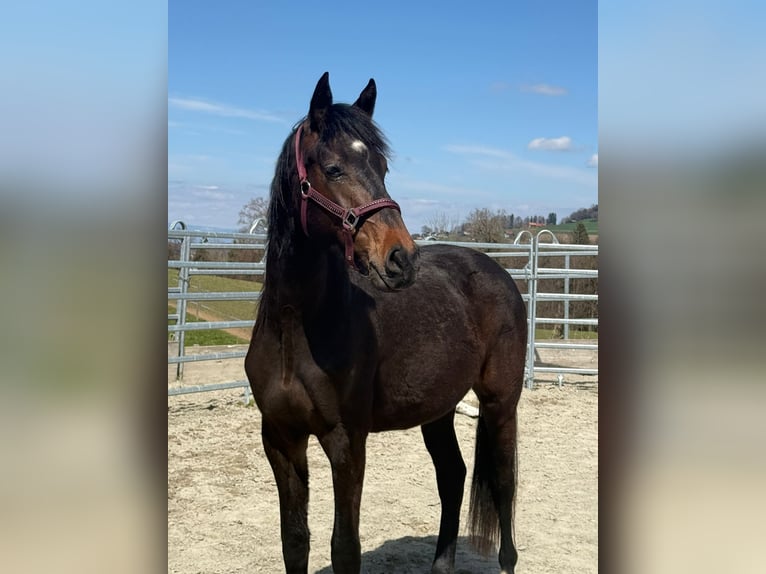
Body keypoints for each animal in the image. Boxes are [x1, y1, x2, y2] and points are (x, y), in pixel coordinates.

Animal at [245, 72, 527, 574]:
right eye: (333, 168)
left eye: (382, 166)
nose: (401, 258)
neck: (296, 332)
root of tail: (497, 271)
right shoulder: (280, 438)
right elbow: (294, 541)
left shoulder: (346, 441)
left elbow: (345, 547)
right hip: (438, 408)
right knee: (453, 475)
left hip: (500, 404)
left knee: (503, 483)